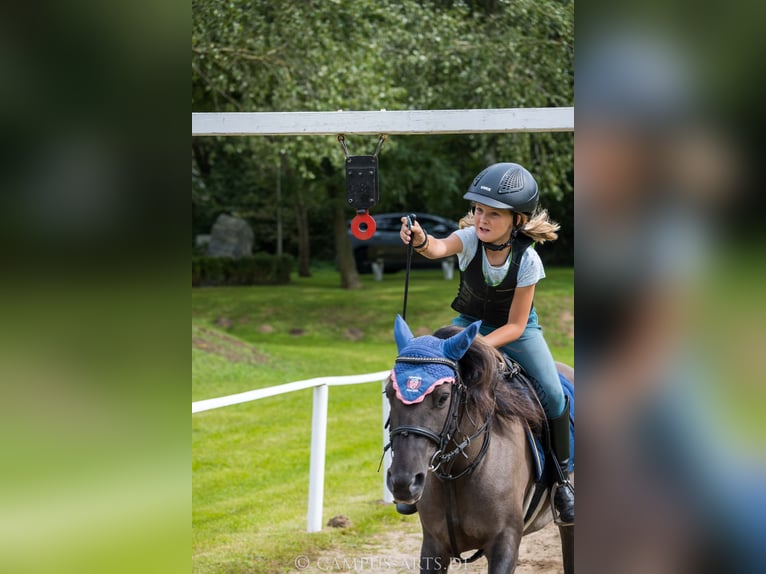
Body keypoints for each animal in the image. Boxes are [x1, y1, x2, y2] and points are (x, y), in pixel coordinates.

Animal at [388, 318, 572, 572]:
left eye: (443, 397)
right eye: (388, 393)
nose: (404, 483)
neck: (457, 472)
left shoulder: (505, 543)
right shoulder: (434, 545)